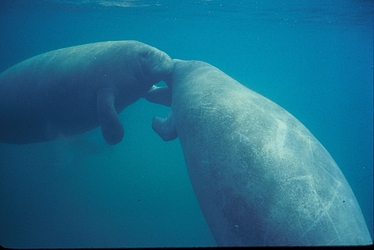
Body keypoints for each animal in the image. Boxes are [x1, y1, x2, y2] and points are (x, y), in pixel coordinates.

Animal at [0, 40, 172, 145]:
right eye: (145, 54)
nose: (167, 58)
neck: (128, 62)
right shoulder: (105, 88)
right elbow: (109, 114)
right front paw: (114, 137)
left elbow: (152, 94)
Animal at [146, 59, 372, 246]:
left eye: (184, 65)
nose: (171, 63)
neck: (195, 75)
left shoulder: (178, 108)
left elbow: (167, 128)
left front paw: (154, 120)